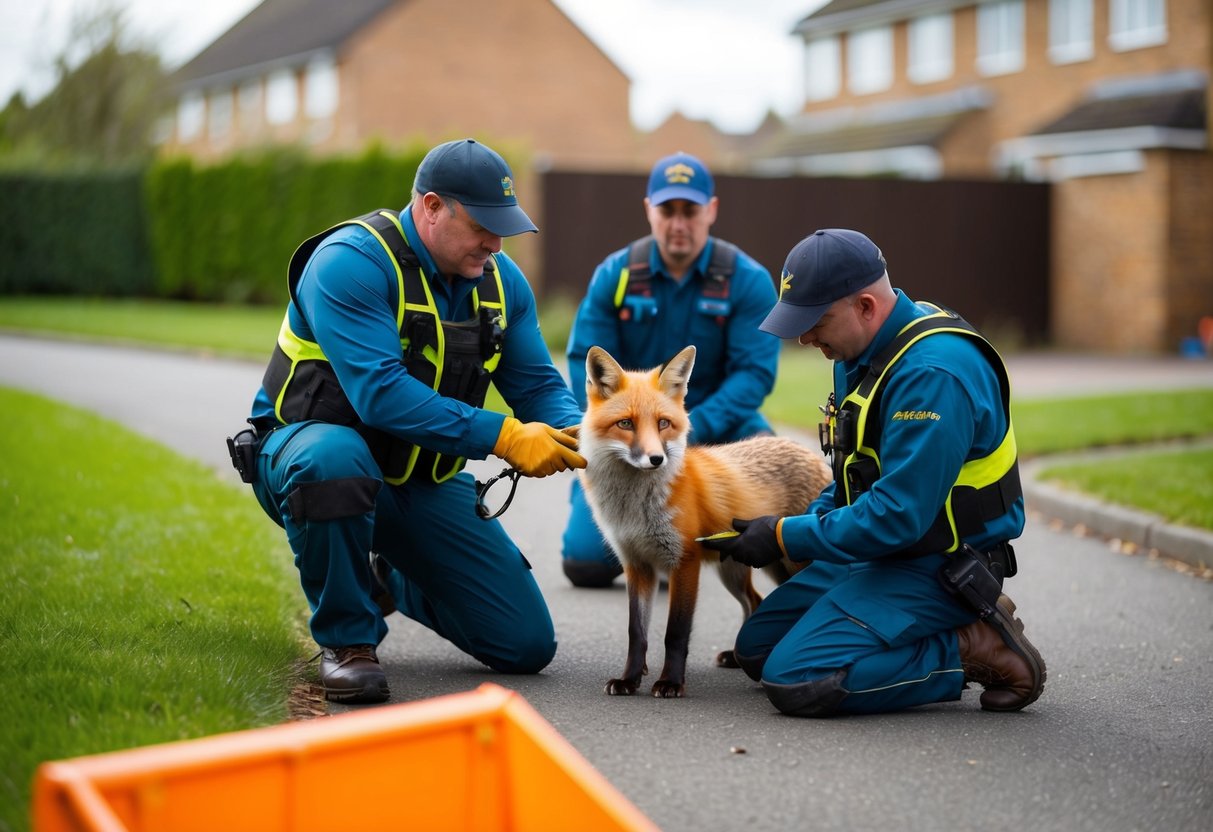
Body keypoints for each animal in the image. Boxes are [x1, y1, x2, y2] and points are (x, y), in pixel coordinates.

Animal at [578, 344, 833, 698]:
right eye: (626, 423)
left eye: (663, 423)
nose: (656, 459)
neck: (634, 509)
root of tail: (806, 450)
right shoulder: (637, 565)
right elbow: (636, 633)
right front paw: (629, 679)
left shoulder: (684, 561)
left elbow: (675, 632)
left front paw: (670, 682)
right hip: (738, 568)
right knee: (755, 601)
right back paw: (738, 657)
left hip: (787, 564)